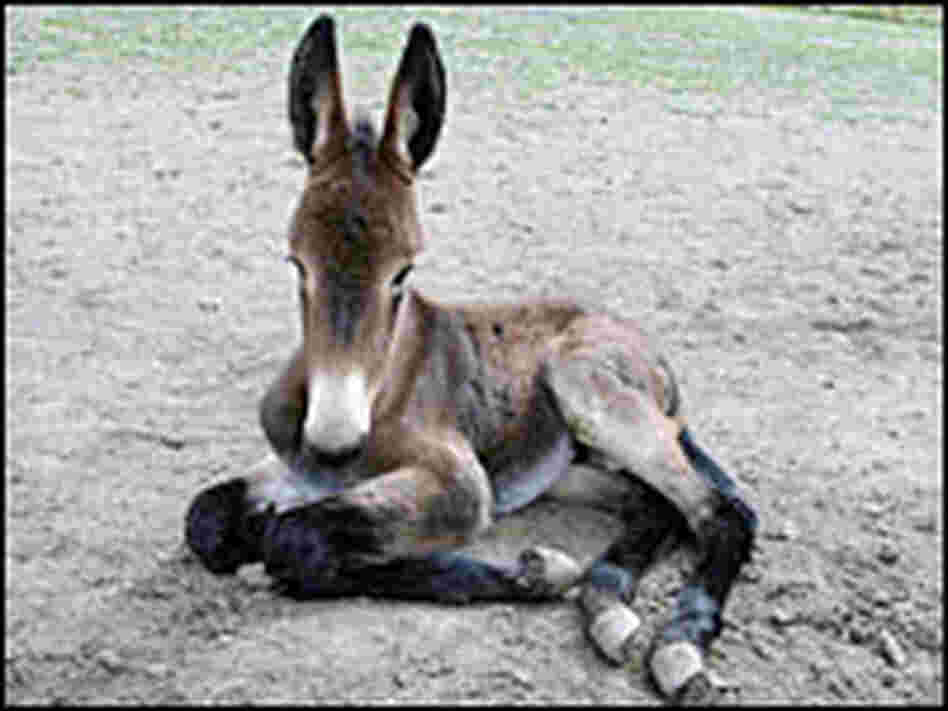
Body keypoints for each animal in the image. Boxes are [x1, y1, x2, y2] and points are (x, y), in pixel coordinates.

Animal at [185, 15, 758, 701]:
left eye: (403, 273)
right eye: (297, 264)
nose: (332, 443)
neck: (377, 388)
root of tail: (645, 347)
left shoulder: (459, 483)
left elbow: (297, 539)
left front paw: (537, 573)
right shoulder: (297, 469)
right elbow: (209, 519)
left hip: (585, 385)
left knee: (718, 511)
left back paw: (678, 647)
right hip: (568, 466)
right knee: (655, 504)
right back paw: (608, 606)